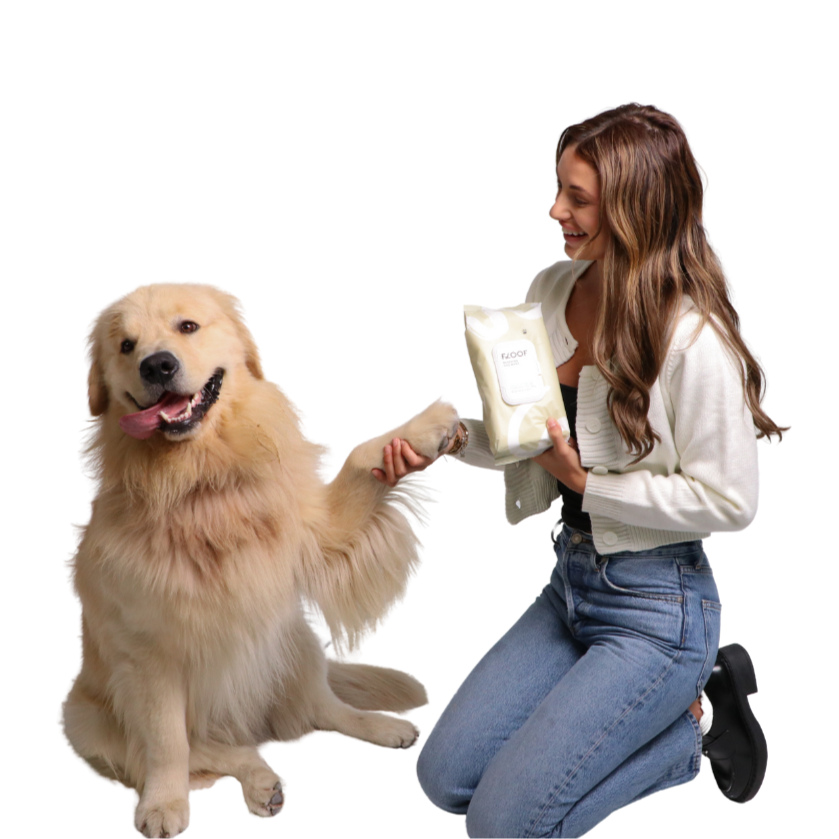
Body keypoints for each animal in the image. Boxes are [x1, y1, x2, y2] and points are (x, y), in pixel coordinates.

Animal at [65, 286, 460, 836]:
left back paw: (381, 726)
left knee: (324, 710)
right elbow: (167, 745)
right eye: (126, 345)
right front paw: (163, 804)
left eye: (187, 327)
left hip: (295, 643)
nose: (157, 365)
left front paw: (425, 428)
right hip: (88, 720)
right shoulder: (150, 655)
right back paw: (260, 782)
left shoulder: (318, 536)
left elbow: (361, 456)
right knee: (214, 749)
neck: (200, 481)